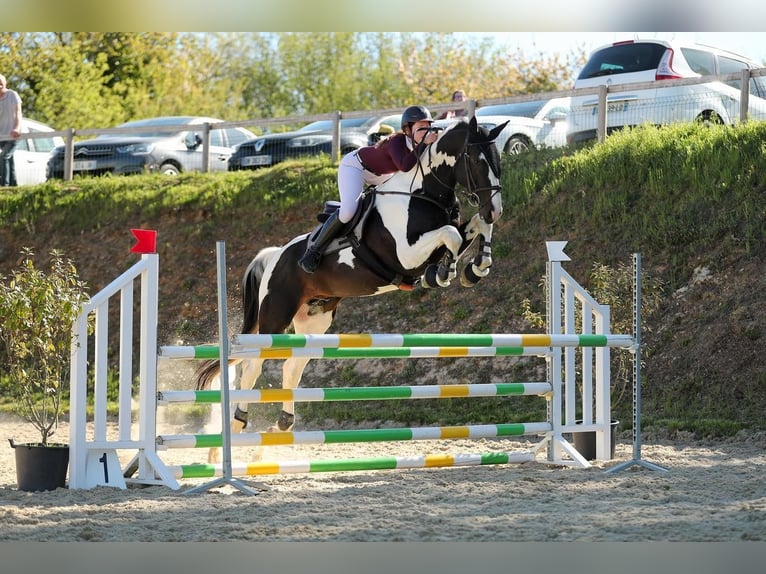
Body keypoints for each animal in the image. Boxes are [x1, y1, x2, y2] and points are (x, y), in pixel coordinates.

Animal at [196, 115, 510, 462]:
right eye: (476, 160)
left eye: (499, 159)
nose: (495, 209)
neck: (423, 193)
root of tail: (275, 254)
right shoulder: (405, 253)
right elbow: (451, 236)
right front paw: (444, 271)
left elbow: (473, 228)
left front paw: (475, 267)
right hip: (275, 317)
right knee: (253, 365)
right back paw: (236, 424)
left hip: (314, 321)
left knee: (292, 366)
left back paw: (282, 423)